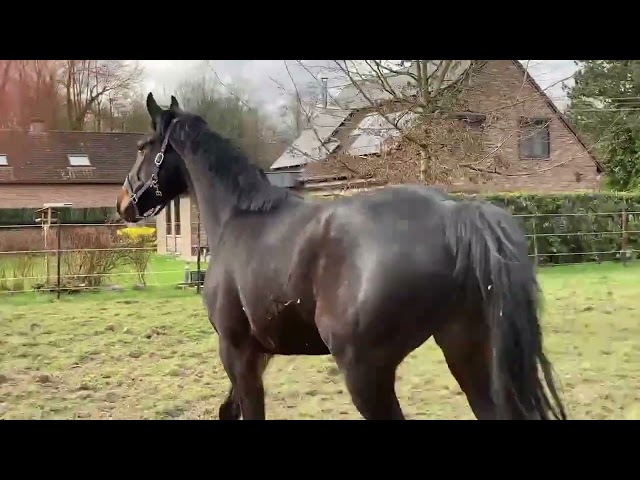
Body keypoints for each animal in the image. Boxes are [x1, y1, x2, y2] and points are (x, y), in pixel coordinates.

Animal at [116, 92, 567, 420]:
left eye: (141, 146)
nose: (123, 204)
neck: (238, 217)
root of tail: (454, 214)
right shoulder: (257, 352)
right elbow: (228, 410)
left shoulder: (236, 349)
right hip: (466, 351)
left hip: (365, 372)